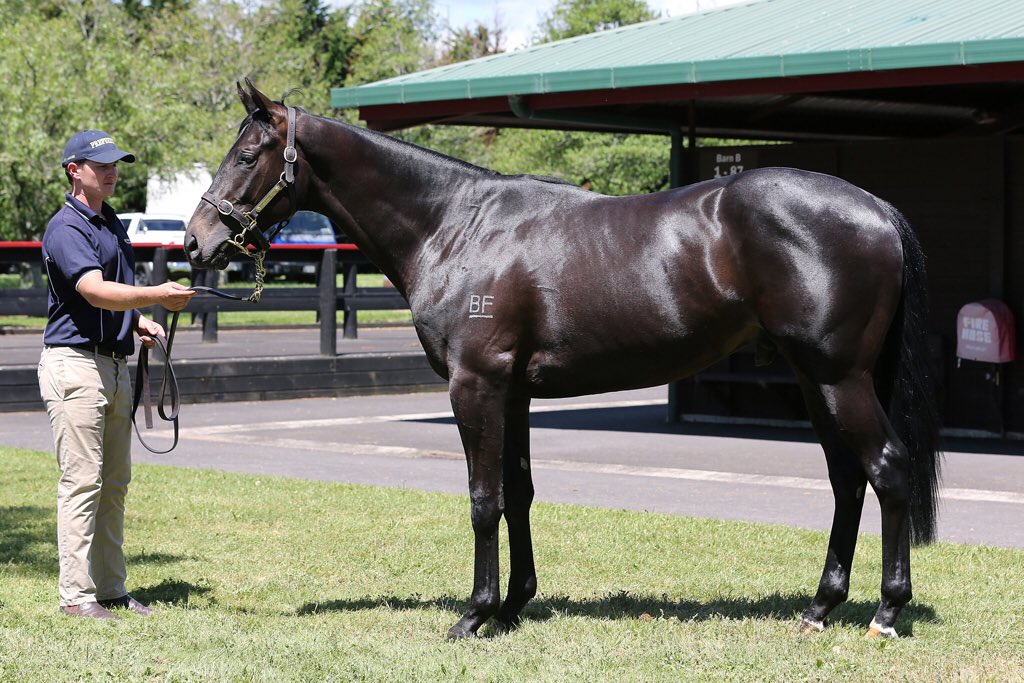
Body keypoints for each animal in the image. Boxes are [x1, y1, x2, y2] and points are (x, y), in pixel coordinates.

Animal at [185, 80, 941, 640]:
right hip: (817, 379)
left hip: (839, 378)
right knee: (847, 480)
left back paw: (884, 612)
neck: (456, 226)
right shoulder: (513, 392)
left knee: (887, 470)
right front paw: (514, 605)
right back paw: (820, 607)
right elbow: (518, 493)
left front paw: (474, 614)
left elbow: (483, 499)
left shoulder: (476, 387)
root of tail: (875, 207)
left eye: (248, 155)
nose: (197, 240)